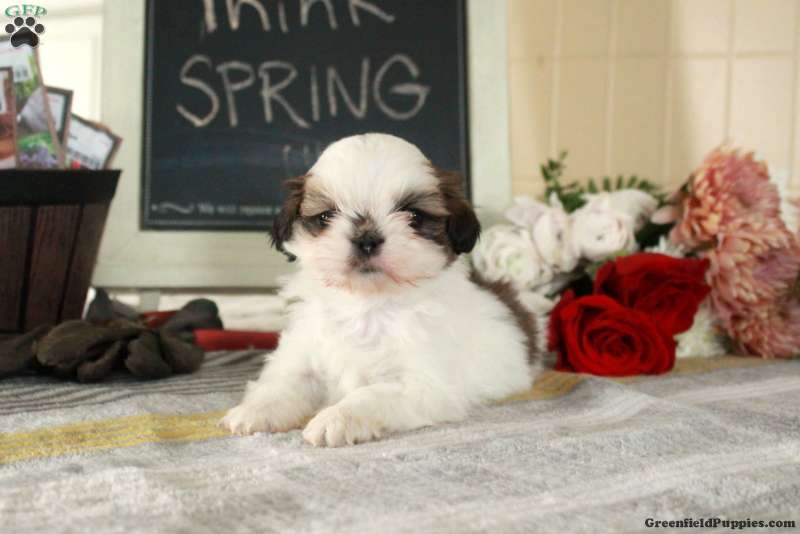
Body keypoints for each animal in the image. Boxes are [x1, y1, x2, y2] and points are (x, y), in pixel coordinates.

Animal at [221, 133, 540, 446]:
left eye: (413, 216)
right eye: (326, 217)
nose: (367, 239)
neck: (367, 305)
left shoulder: (422, 383)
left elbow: (369, 395)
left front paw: (337, 418)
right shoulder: (304, 353)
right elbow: (283, 382)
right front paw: (256, 409)